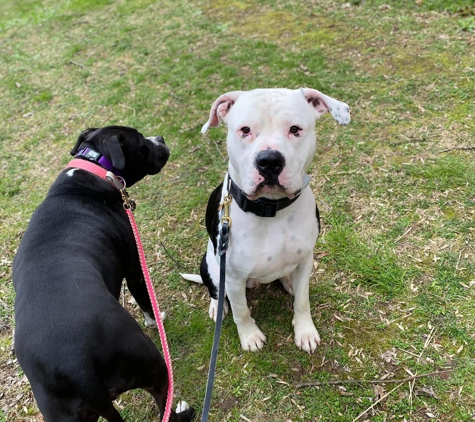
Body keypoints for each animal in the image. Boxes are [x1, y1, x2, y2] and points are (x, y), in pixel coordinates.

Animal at [13, 127, 195, 420]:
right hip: (151, 362)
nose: (160, 139)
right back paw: (182, 410)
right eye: (141, 141)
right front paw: (156, 319)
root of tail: (78, 368)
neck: (95, 166)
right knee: (162, 400)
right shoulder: (134, 268)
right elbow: (145, 301)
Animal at [184, 88, 352, 352]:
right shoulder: (232, 278)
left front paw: (304, 331)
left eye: (295, 129)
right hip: (211, 265)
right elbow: (241, 311)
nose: (270, 160)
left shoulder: (306, 259)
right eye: (245, 130)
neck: (271, 209)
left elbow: (303, 301)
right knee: (216, 291)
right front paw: (250, 336)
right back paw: (217, 306)